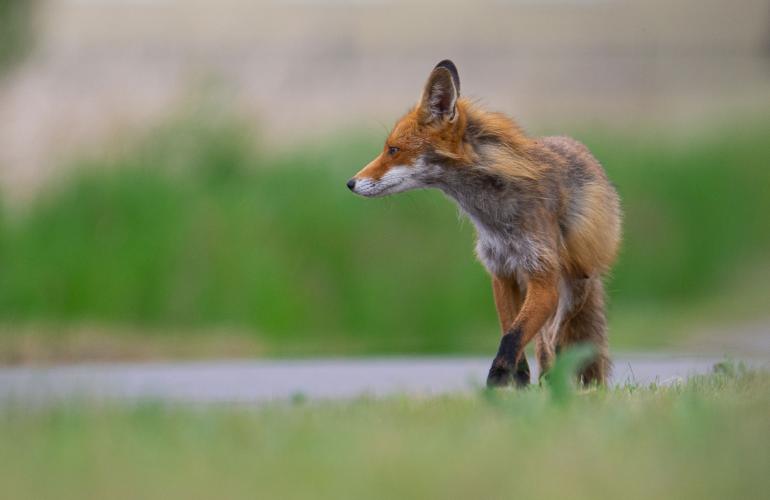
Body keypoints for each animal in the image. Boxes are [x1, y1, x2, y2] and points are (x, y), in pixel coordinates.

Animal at [346, 59, 616, 386]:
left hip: (575, 287)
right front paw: (518, 383)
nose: (350, 183)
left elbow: (512, 337)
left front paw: (496, 383)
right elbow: (511, 331)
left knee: (555, 340)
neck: (497, 221)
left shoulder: (543, 277)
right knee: (543, 342)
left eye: (393, 150)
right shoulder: (501, 271)